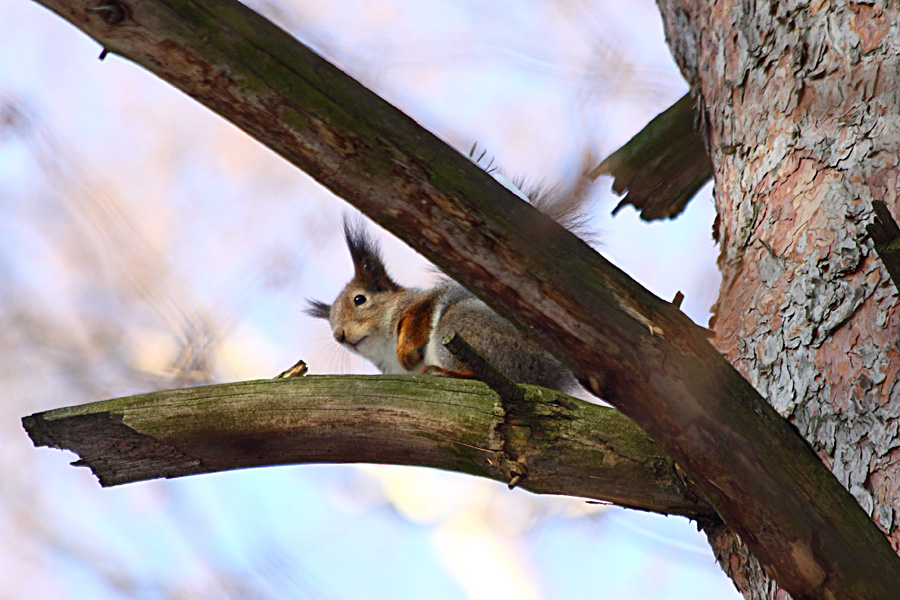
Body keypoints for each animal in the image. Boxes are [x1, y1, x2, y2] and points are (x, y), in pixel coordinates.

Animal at [306, 185, 588, 394]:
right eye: (330, 324)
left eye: (359, 299)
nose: (339, 335)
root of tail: (547, 371)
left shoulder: (424, 302)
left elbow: (419, 317)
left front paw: (406, 352)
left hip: (460, 324)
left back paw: (445, 372)